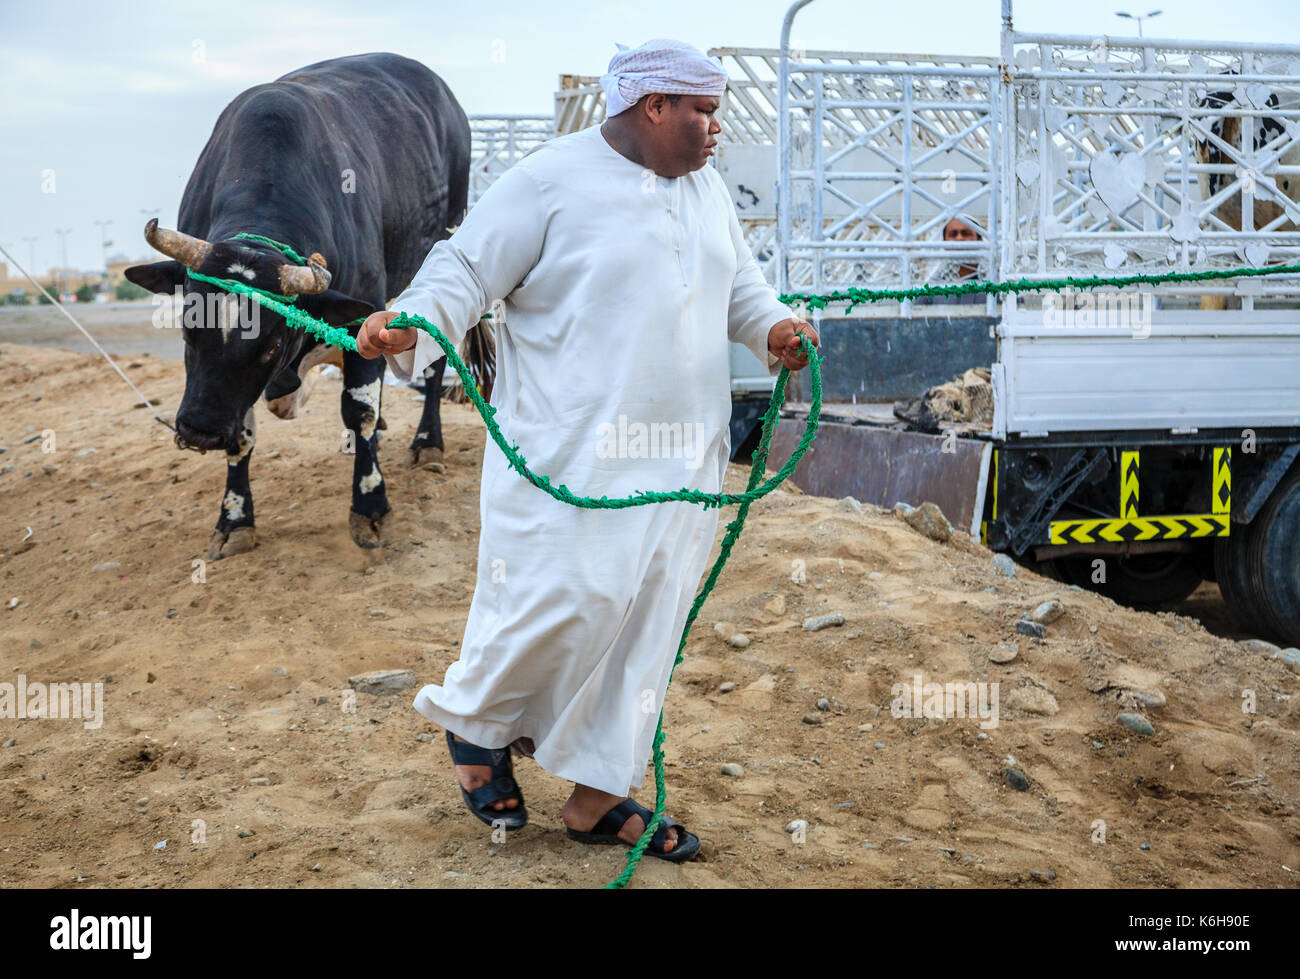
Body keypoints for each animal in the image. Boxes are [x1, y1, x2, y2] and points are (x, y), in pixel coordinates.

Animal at [126, 51, 488, 556]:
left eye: (270, 347)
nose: (198, 429)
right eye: (187, 331)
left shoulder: (365, 316)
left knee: (432, 367)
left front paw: (370, 505)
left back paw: (426, 442)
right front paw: (235, 518)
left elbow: (359, 409)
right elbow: (244, 433)